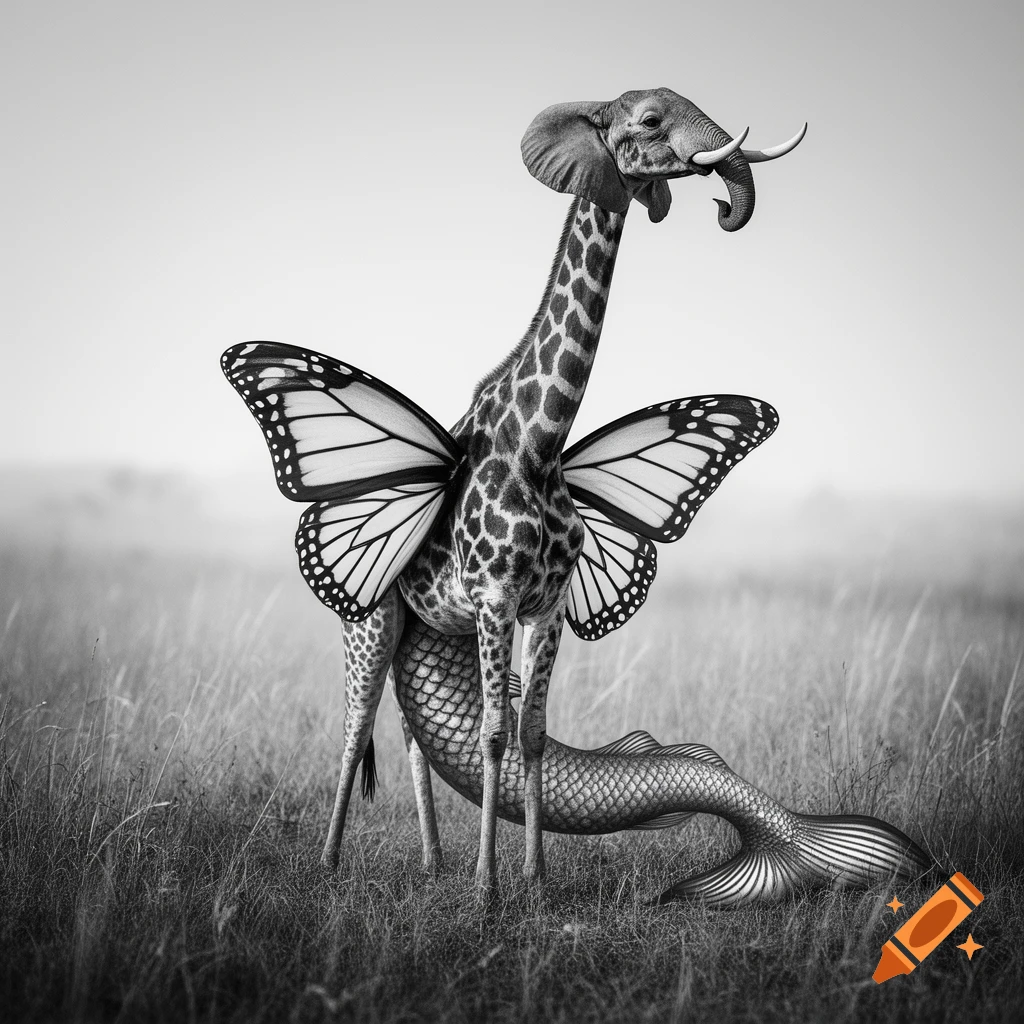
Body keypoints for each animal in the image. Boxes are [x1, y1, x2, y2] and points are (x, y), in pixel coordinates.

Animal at [320, 88, 806, 895]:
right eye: (646, 119)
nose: (723, 205)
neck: (541, 443)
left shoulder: (545, 603)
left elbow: (534, 734)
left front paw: (537, 883)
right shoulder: (495, 595)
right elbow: (491, 734)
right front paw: (487, 891)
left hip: (429, 625)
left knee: (411, 732)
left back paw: (431, 861)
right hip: (373, 616)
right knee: (356, 723)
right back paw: (330, 861)